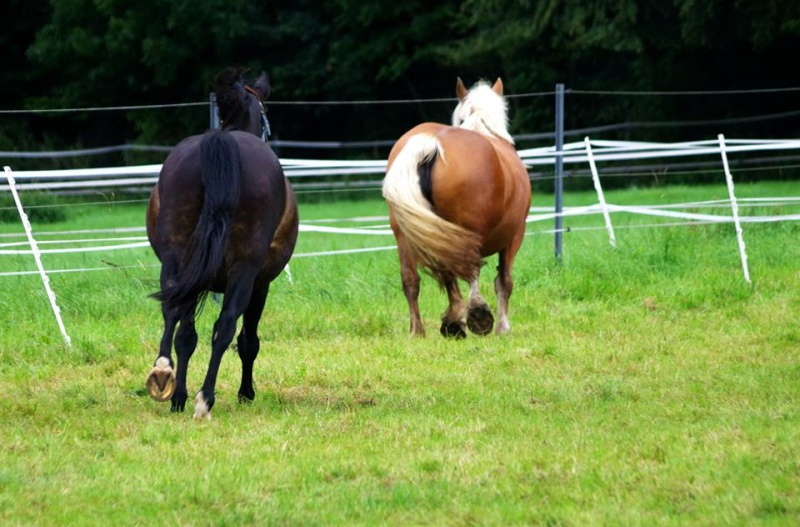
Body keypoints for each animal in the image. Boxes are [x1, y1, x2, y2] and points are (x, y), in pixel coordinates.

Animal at [145, 67, 298, 420]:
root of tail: (222, 141)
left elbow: (186, 335)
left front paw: (179, 395)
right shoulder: (260, 284)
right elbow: (247, 340)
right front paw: (246, 393)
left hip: (176, 258)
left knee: (174, 314)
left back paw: (164, 376)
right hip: (244, 268)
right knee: (225, 325)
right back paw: (205, 399)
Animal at [382, 78, 532, 338]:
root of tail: (430, 142)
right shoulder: (515, 235)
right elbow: (504, 281)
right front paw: (503, 327)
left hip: (410, 234)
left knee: (412, 279)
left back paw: (423, 330)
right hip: (467, 232)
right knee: (470, 271)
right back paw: (477, 315)